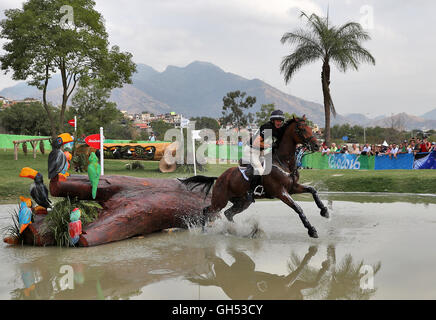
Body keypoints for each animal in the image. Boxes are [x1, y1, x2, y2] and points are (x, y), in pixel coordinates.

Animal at [180, 115, 328, 238]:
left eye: (310, 128)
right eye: (301, 129)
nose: (317, 145)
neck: (283, 162)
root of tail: (219, 178)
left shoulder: (293, 187)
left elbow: (313, 190)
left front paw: (324, 211)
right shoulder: (281, 192)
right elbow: (298, 208)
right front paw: (312, 230)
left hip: (243, 201)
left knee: (228, 214)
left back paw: (238, 230)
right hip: (220, 201)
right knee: (207, 211)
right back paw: (205, 231)